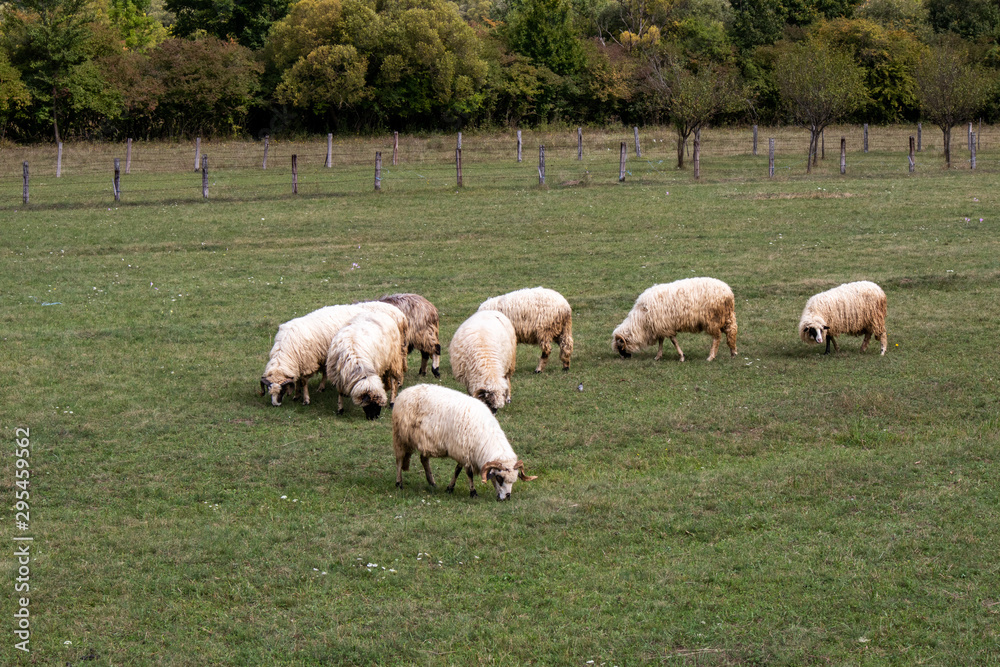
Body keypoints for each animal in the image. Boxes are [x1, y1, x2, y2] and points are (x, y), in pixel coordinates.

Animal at [260, 301, 407, 406]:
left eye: (282, 391)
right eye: (269, 391)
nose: (275, 404)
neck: (285, 348)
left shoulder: (307, 362)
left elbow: (303, 382)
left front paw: (306, 399)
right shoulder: (298, 363)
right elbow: (297, 380)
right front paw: (296, 395)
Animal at [392, 384, 537, 501]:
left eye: (514, 481)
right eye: (499, 478)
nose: (507, 498)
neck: (485, 435)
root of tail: (404, 391)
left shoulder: (463, 451)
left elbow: (457, 470)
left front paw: (450, 488)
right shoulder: (464, 451)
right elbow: (469, 473)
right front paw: (473, 493)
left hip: (425, 441)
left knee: (424, 460)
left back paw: (432, 483)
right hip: (400, 437)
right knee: (399, 460)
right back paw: (399, 483)